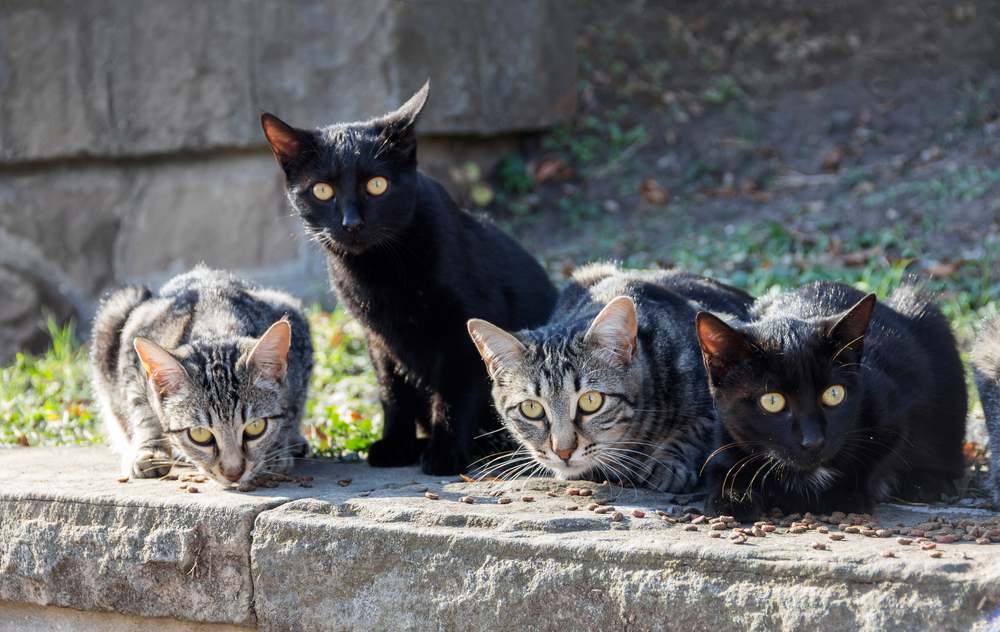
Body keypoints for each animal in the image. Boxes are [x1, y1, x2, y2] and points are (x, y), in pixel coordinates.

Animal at [93, 266, 314, 484]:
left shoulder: (298, 367)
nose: (233, 473)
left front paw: (276, 450)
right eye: (199, 434)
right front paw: (150, 451)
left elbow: (290, 412)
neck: (215, 322)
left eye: (255, 427)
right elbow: (142, 412)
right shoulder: (132, 358)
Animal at [262, 81, 560, 472]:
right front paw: (396, 445)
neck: (380, 273)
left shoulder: (464, 331)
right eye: (322, 190)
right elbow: (392, 393)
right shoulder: (379, 340)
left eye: (377, 185)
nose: (351, 223)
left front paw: (445, 454)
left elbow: (454, 393)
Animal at [696, 282, 968, 520]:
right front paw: (732, 496)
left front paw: (837, 496)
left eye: (834, 394)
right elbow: (722, 466)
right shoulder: (724, 432)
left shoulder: (894, 411)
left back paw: (926, 482)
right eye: (772, 401)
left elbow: (879, 457)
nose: (814, 440)